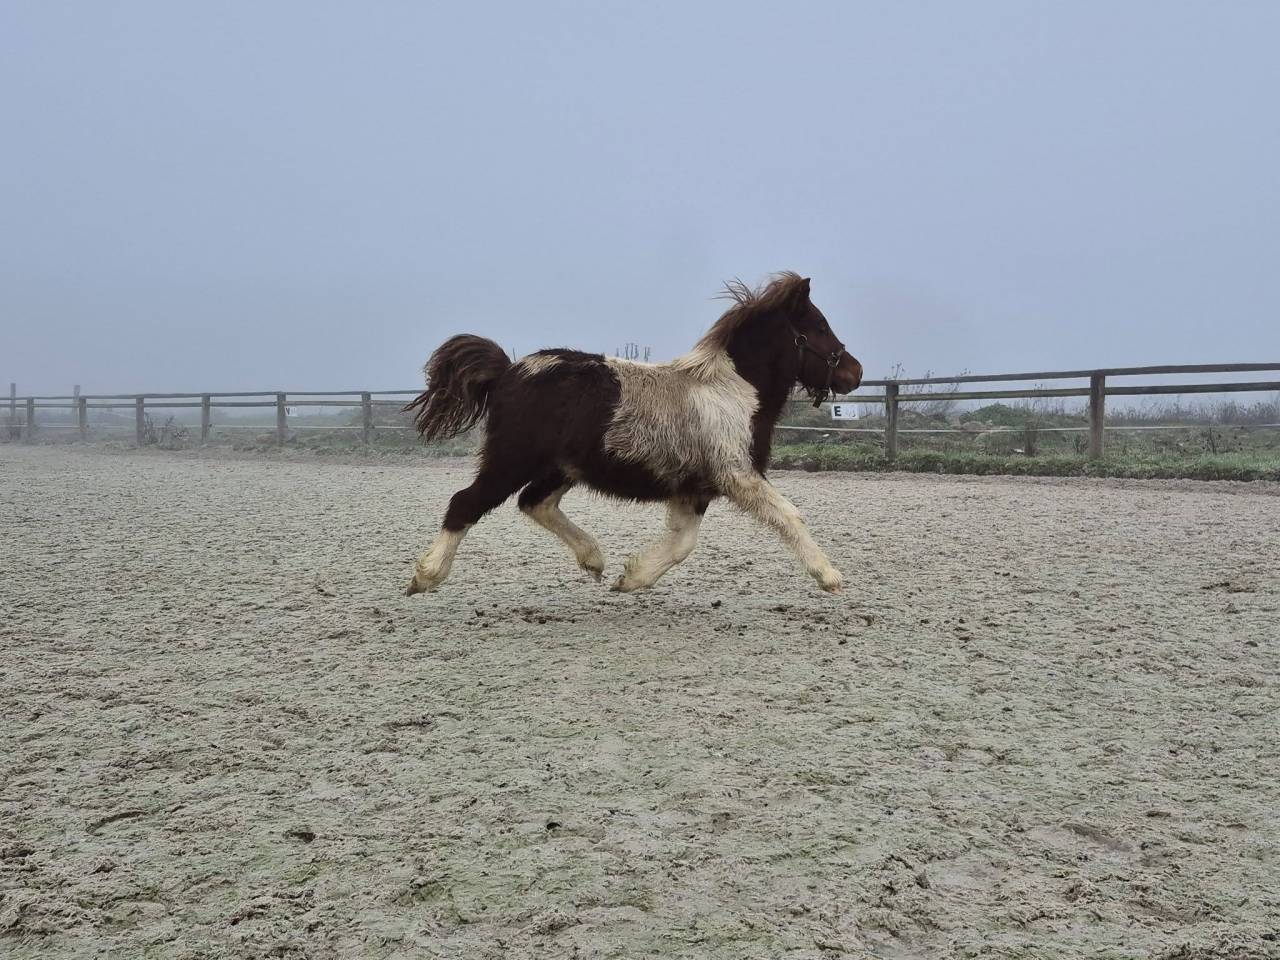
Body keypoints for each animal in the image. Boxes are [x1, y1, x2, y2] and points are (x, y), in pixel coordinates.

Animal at [402, 272, 863, 596]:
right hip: (511, 459)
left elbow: (682, 543)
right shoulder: (736, 473)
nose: (855, 372)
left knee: (535, 503)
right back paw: (426, 576)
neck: (732, 389)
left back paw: (593, 559)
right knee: (465, 504)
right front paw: (829, 575)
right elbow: (788, 515)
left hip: (560, 468)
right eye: (819, 327)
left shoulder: (693, 486)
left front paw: (632, 578)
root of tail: (507, 371)